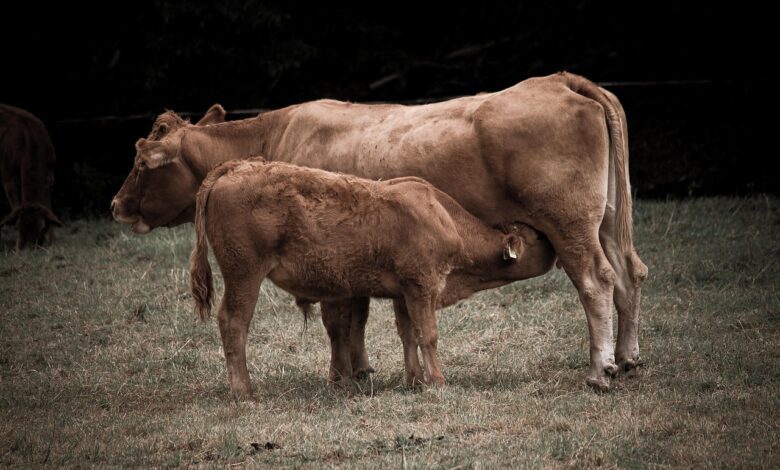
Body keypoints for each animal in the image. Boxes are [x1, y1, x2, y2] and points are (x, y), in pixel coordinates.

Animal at [0, 104, 62, 249]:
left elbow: (48, 206)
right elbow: (15, 205)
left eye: (42, 228)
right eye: (18, 226)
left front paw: (53, 243)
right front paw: (17, 247)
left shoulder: (50, 175)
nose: (29, 248)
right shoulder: (7, 174)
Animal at [185, 157, 556, 397]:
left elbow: (408, 335)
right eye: (535, 238)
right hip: (244, 276)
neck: (443, 218)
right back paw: (244, 390)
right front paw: (437, 381)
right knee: (234, 322)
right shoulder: (423, 286)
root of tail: (235, 167)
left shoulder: (404, 294)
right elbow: (428, 335)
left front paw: (414, 381)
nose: (552, 244)